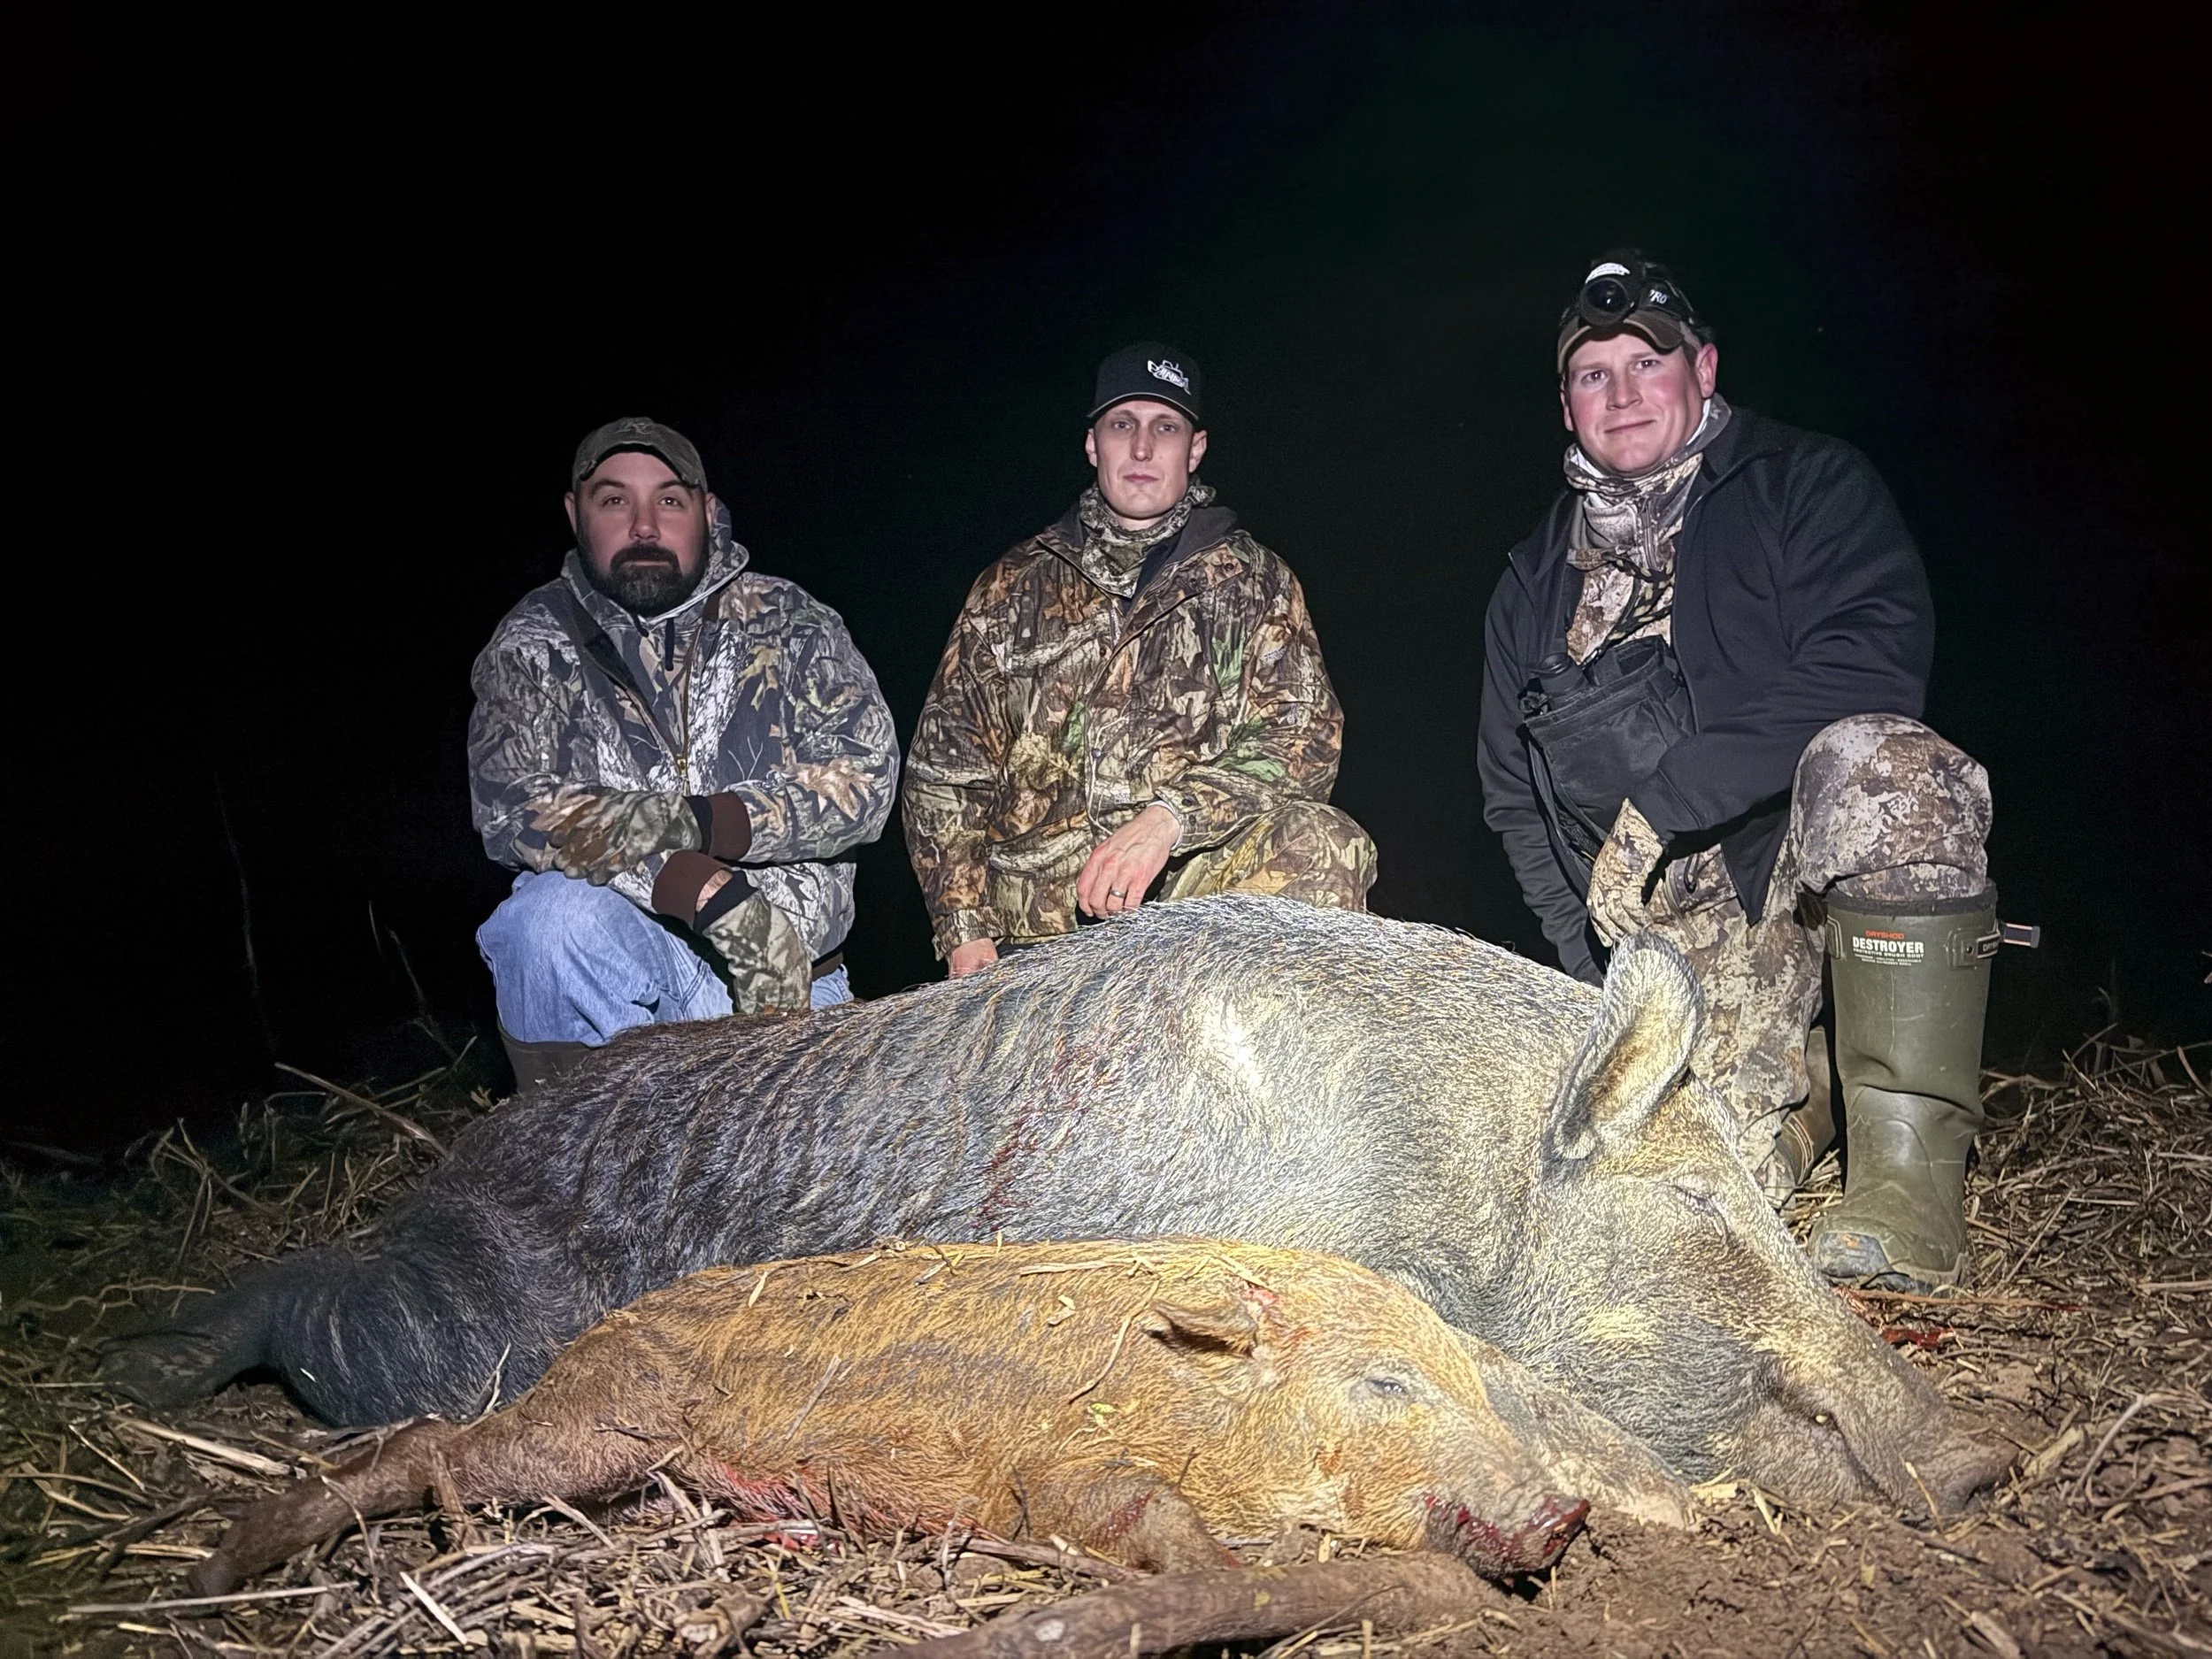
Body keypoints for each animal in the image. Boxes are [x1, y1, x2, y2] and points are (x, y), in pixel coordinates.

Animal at [109, 895, 2010, 1518]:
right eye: (1711, 1214)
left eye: (1774, 1199)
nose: (1986, 1461)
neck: (1450, 1184)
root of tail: (458, 1163)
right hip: (431, 1332)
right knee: (307, 1309)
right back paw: (142, 1374)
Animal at [185, 1239, 1591, 1595]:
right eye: (1385, 1383)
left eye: (1472, 1378)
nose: (1567, 1509)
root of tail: (590, 1338)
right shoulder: (1058, 1461)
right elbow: (1118, 1511)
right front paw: (1241, 1578)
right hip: (593, 1428)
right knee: (432, 1446)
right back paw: (228, 1561)